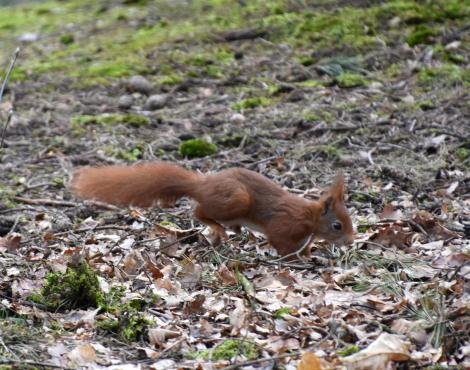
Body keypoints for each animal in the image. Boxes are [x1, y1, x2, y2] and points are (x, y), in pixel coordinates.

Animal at [71, 163, 354, 256]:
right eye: (337, 225)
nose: (351, 241)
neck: (310, 218)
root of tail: (203, 184)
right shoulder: (283, 224)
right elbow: (280, 242)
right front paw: (297, 258)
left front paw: (308, 253)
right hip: (237, 199)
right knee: (198, 212)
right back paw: (218, 229)